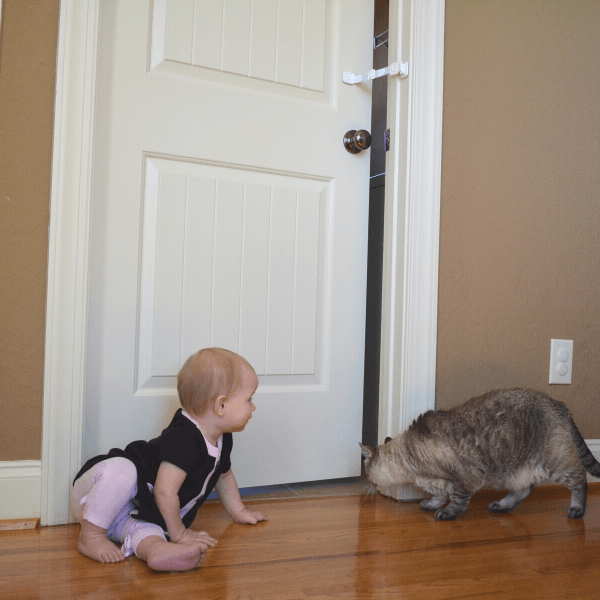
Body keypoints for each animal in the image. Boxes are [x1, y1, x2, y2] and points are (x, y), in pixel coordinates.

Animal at [360, 390, 600, 520]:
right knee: (524, 490)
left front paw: (446, 515)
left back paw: (577, 510)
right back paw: (500, 507)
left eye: (367, 473)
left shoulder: (464, 480)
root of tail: (558, 404)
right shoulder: (440, 483)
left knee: (580, 481)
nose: (368, 483)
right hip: (511, 472)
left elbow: (456, 501)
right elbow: (438, 497)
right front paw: (430, 505)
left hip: (556, 463)